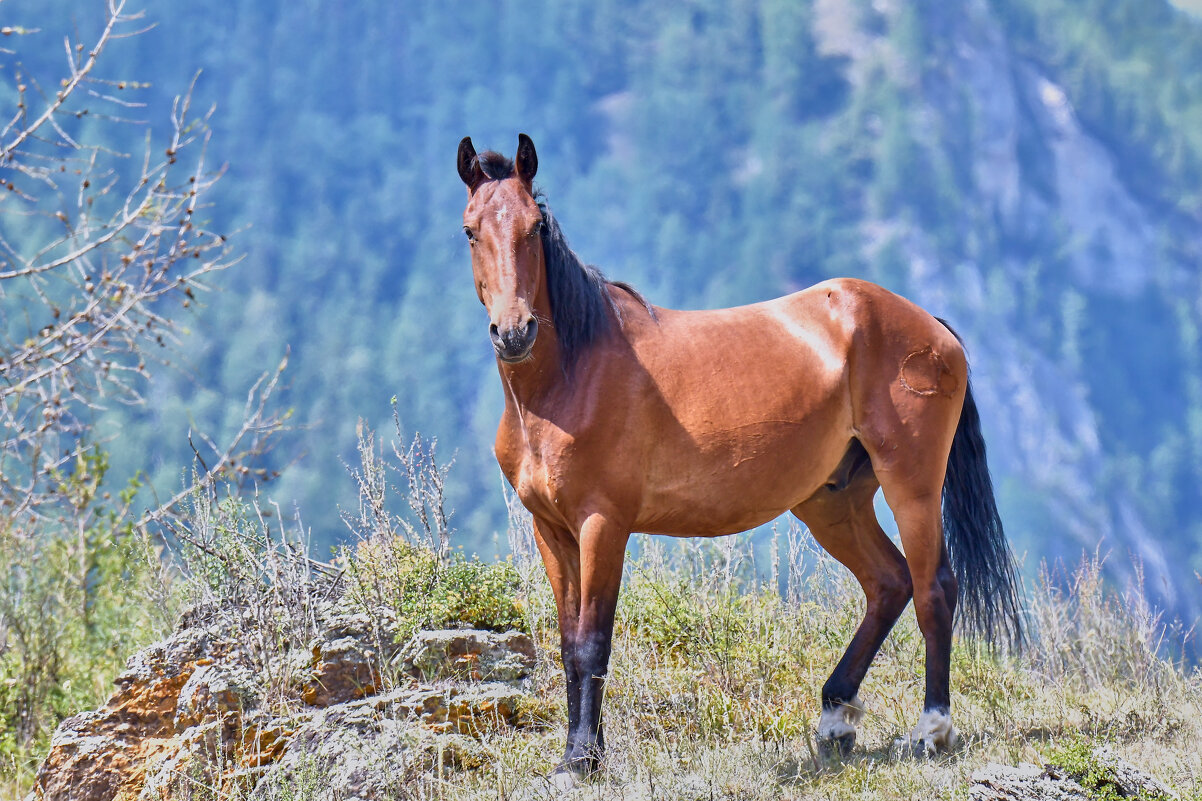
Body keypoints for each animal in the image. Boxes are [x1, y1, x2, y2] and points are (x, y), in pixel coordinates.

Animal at [454, 132, 1019, 774]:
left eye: (534, 227)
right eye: (471, 230)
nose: (514, 332)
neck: (572, 375)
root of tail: (931, 328)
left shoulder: (603, 524)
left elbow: (593, 641)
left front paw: (583, 760)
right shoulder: (552, 530)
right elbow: (570, 643)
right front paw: (576, 755)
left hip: (913, 486)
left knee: (934, 589)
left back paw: (932, 729)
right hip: (832, 501)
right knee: (889, 583)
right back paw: (835, 719)